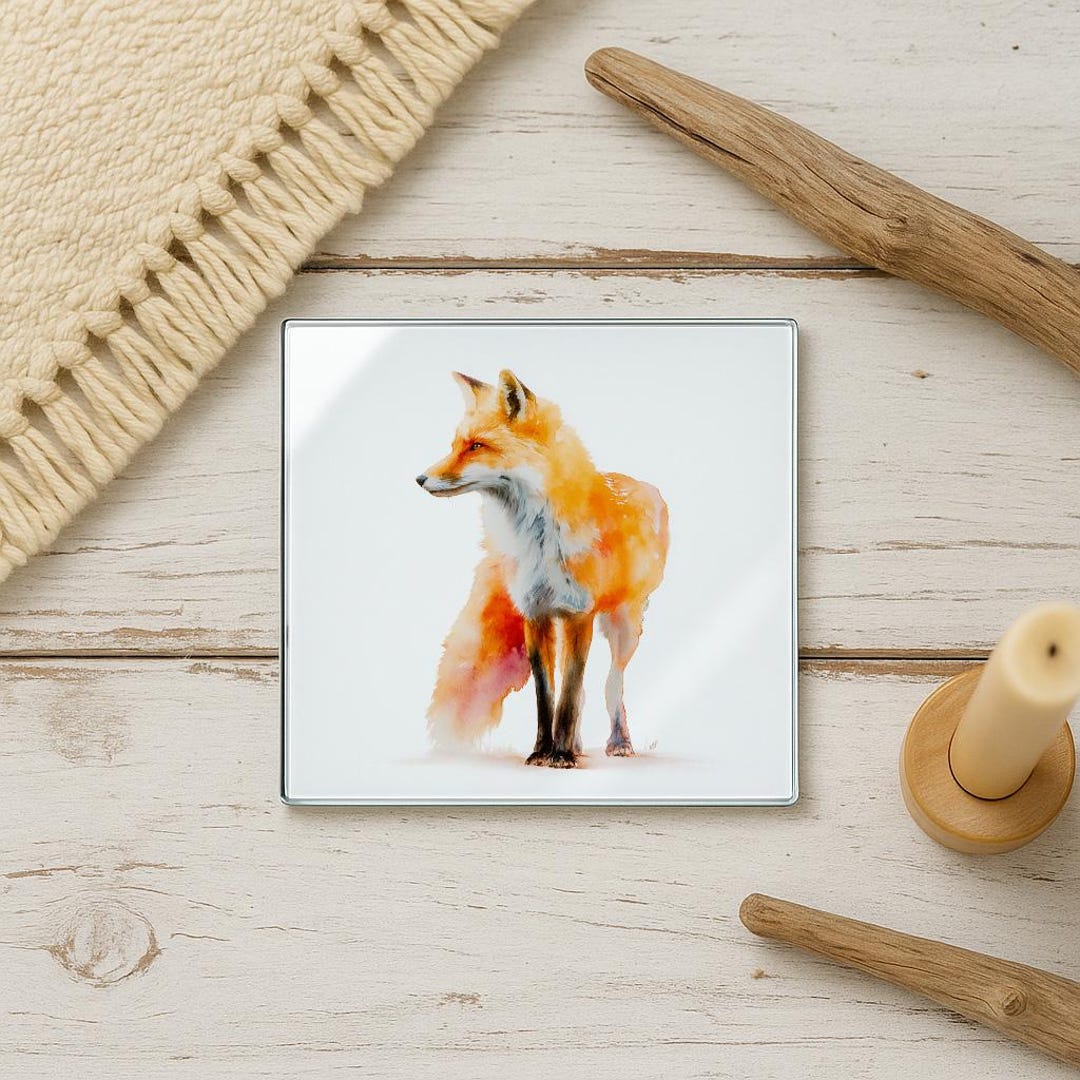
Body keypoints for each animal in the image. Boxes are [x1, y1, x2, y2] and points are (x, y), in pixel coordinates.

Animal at [416, 369, 669, 768]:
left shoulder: (579, 614)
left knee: (611, 683)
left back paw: (618, 742)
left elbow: (568, 696)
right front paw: (542, 751)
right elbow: (547, 695)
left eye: (477, 446)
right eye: (456, 445)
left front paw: (561, 755)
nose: (420, 479)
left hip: (624, 624)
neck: (538, 542)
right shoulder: (535, 615)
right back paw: (578, 744)